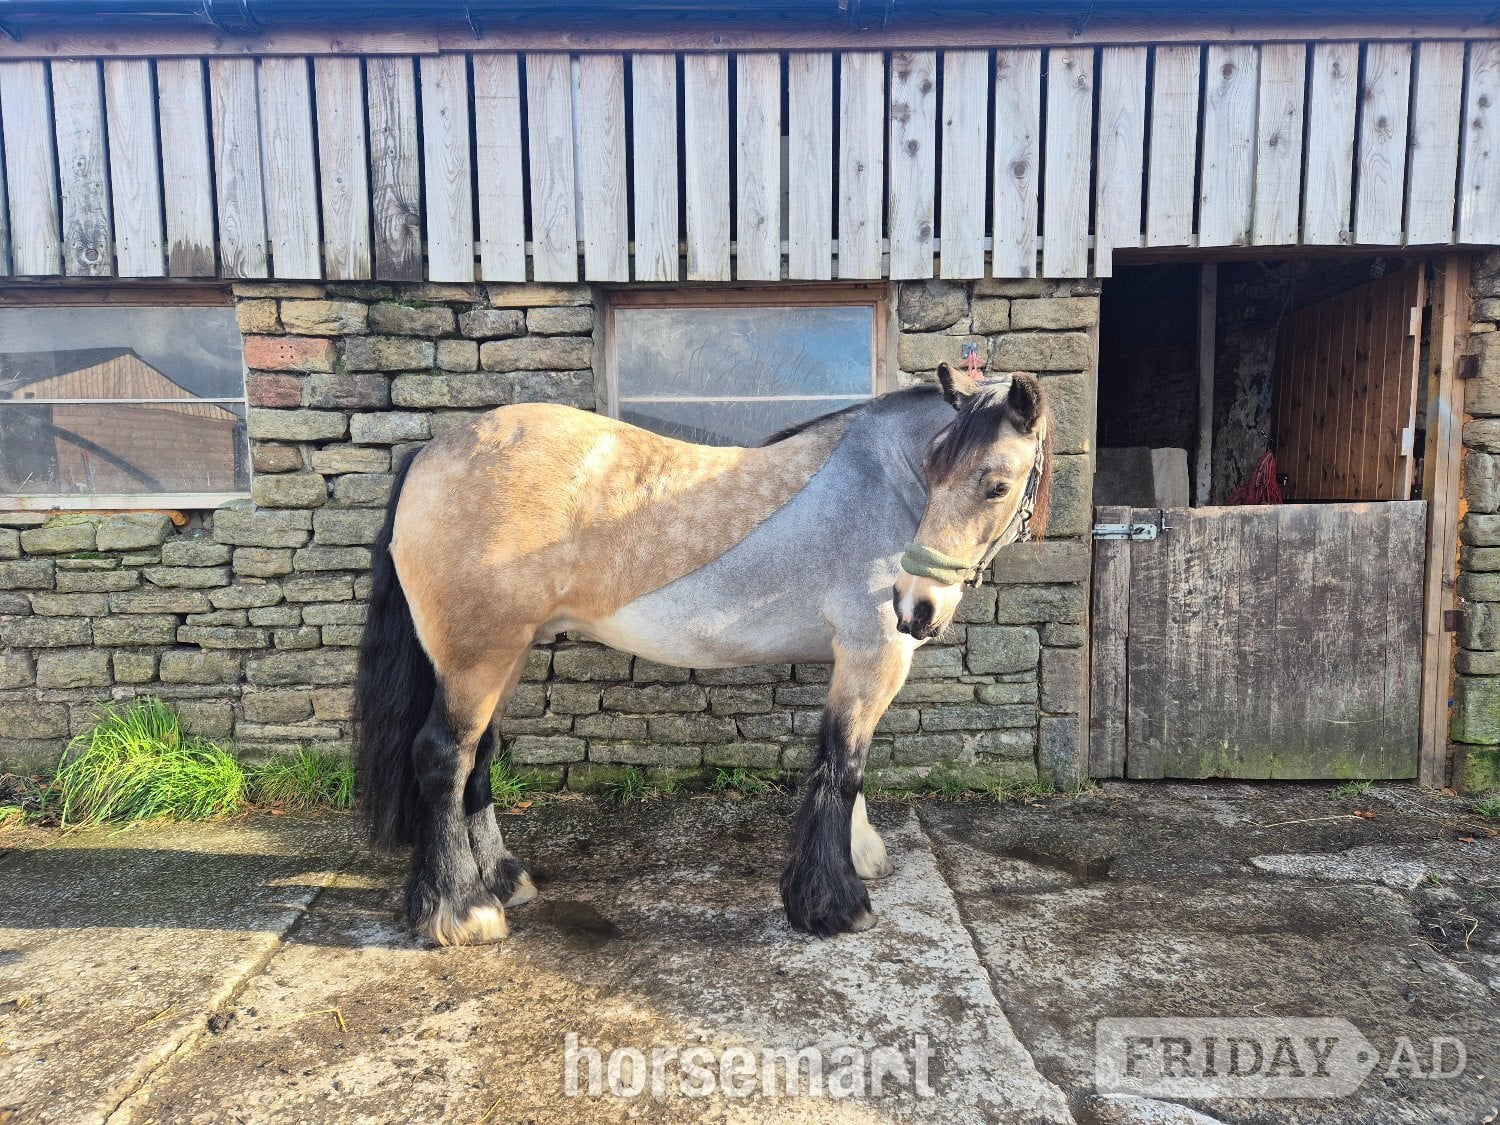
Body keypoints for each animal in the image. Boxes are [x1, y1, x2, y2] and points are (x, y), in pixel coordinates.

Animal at [353, 361, 1052, 945]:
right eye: (939, 472)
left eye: (995, 485)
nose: (917, 606)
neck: (882, 487)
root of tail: (431, 451)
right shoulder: (872, 655)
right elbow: (842, 765)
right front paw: (834, 904)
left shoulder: (858, 662)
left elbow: (846, 764)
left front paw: (859, 856)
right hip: (477, 658)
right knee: (444, 756)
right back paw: (462, 909)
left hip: (506, 654)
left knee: (478, 758)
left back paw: (502, 880)